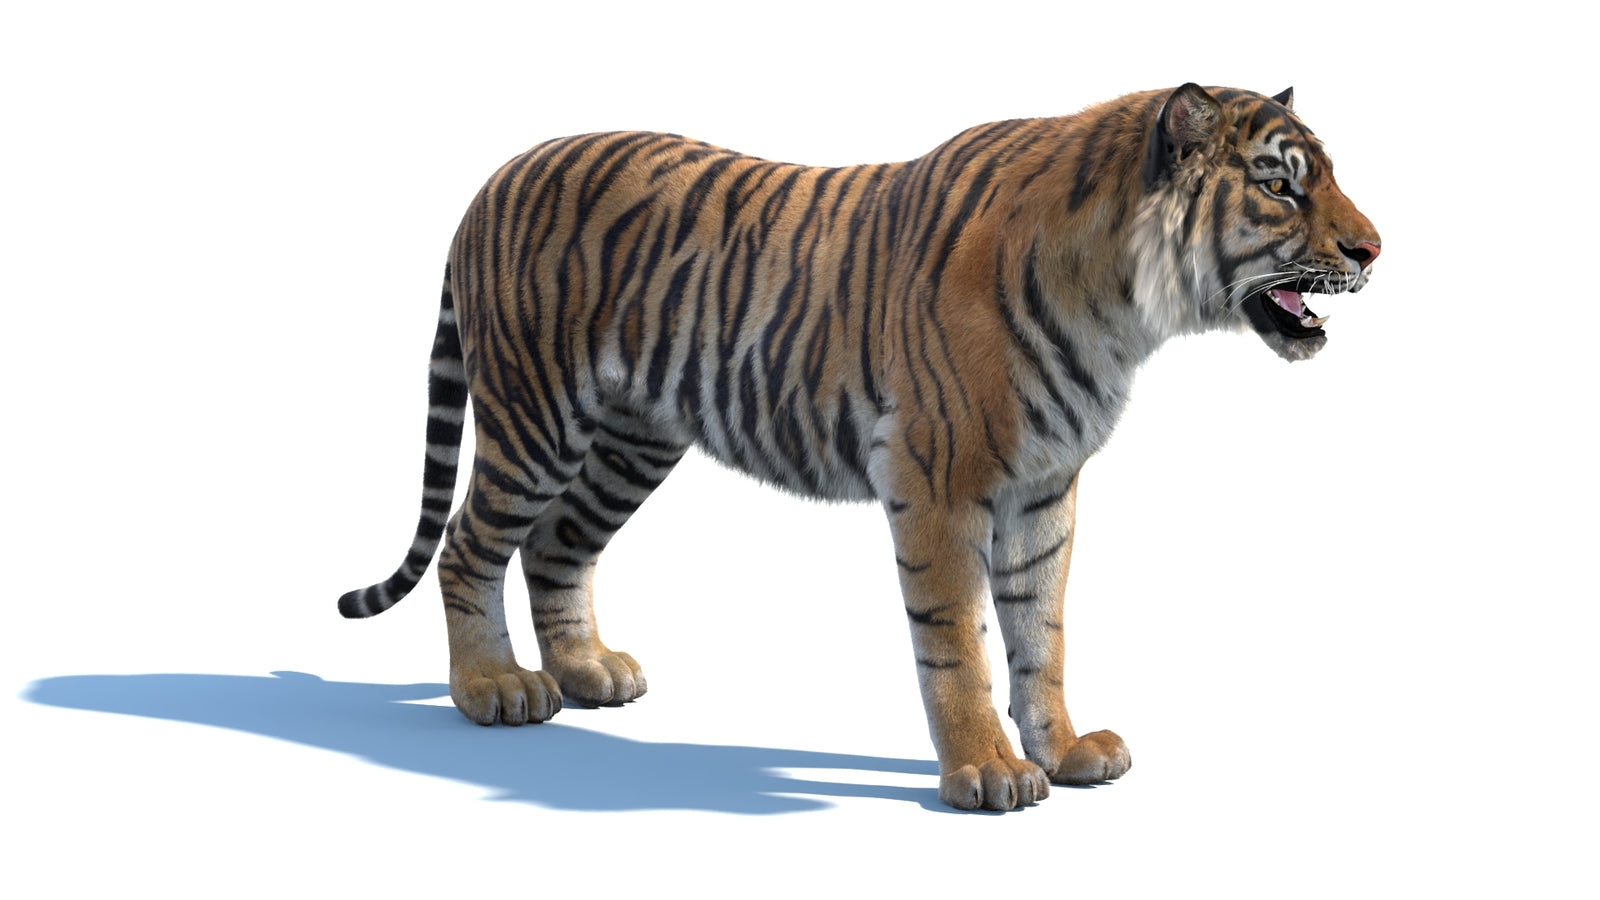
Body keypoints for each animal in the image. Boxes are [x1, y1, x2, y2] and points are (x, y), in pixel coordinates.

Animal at [339, 83, 1380, 811]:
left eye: (1325, 176)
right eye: (1280, 186)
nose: (1375, 249)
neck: (1124, 308)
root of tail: (496, 175)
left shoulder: (1045, 491)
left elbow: (1042, 633)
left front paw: (1067, 752)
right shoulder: (940, 479)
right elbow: (957, 639)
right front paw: (987, 774)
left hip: (635, 439)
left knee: (557, 547)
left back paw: (590, 673)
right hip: (535, 418)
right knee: (470, 545)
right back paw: (493, 688)